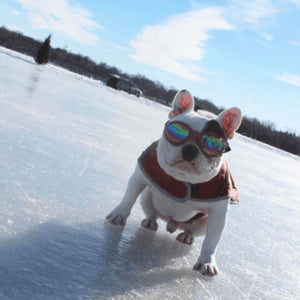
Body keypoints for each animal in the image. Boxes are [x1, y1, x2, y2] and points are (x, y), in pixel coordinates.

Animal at [106, 89, 243, 276]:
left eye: (213, 144)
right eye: (178, 132)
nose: (190, 149)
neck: (184, 178)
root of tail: (172, 224)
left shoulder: (219, 211)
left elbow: (212, 240)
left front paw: (206, 262)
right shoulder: (140, 176)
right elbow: (129, 197)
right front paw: (118, 215)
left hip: (203, 222)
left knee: (193, 231)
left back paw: (187, 235)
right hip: (146, 197)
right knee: (151, 211)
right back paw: (150, 221)